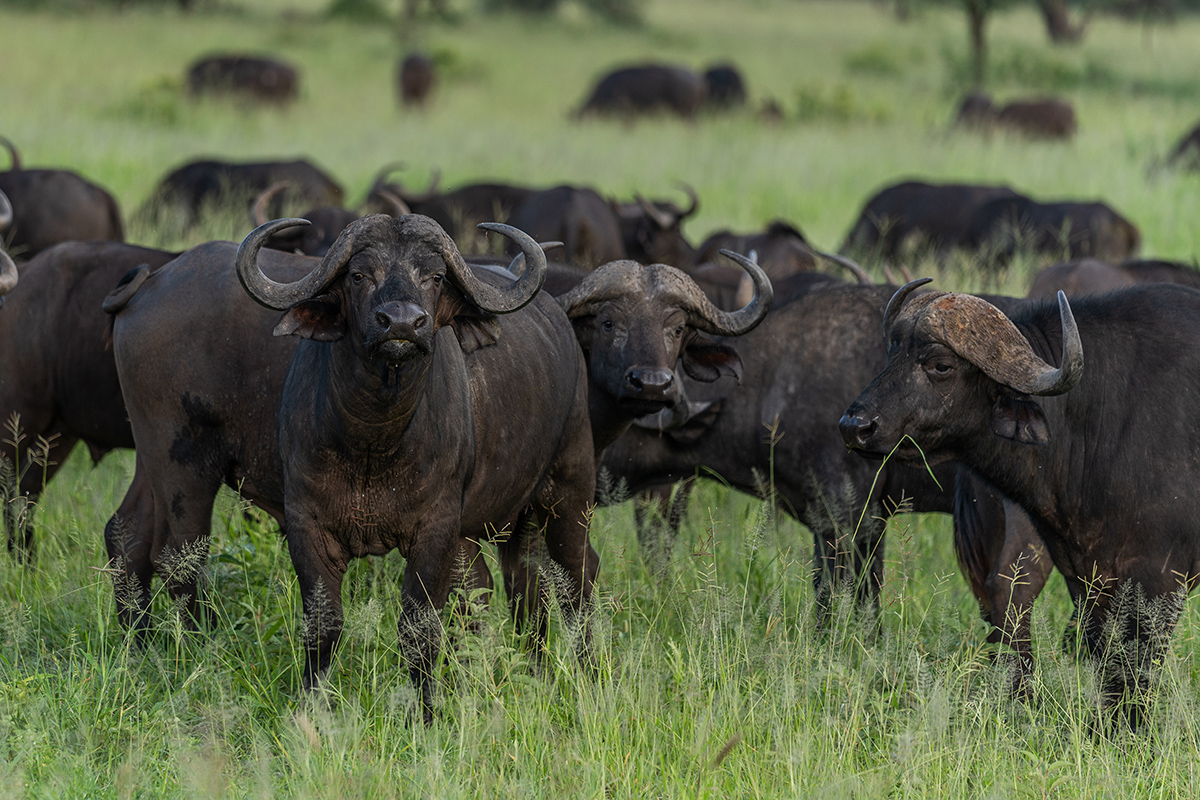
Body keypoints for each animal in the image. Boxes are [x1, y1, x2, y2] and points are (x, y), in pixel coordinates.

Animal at [841, 279, 1200, 724]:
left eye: (940, 365)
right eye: (893, 353)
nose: (855, 426)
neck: (1103, 420)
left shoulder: (1160, 580)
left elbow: (1136, 666)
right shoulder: (1087, 580)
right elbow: (1108, 662)